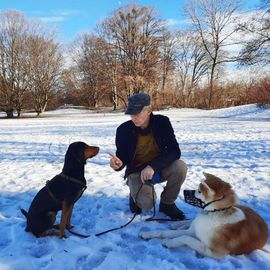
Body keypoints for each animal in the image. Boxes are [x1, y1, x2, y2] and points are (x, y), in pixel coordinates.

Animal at [139, 172, 268, 258]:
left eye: (200, 191)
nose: (184, 191)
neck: (213, 213)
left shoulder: (213, 252)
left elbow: (185, 238)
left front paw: (169, 242)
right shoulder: (194, 230)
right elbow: (165, 232)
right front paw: (147, 234)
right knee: (191, 220)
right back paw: (178, 224)